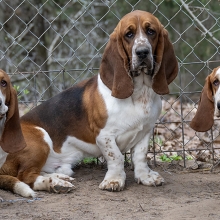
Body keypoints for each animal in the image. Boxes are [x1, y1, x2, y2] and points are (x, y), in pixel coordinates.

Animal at [0, 10, 178, 197]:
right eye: (128, 34)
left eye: (151, 32)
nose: (142, 52)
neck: (139, 92)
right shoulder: (104, 135)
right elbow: (116, 157)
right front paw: (114, 180)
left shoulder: (145, 131)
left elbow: (140, 156)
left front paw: (145, 177)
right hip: (40, 137)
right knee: (26, 177)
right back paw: (54, 183)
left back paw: (59, 178)